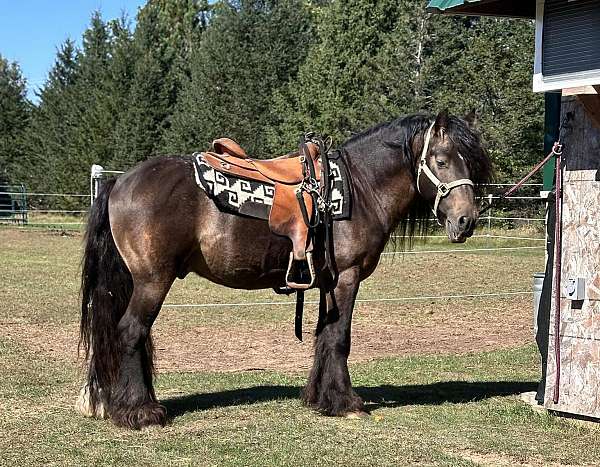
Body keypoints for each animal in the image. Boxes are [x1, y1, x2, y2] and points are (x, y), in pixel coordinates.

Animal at [77, 111, 492, 430]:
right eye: (441, 159)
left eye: (469, 162)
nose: (466, 220)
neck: (358, 188)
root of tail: (119, 181)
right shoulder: (347, 277)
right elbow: (340, 338)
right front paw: (347, 403)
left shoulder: (328, 282)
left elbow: (325, 336)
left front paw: (321, 398)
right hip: (152, 281)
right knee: (131, 332)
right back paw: (140, 412)